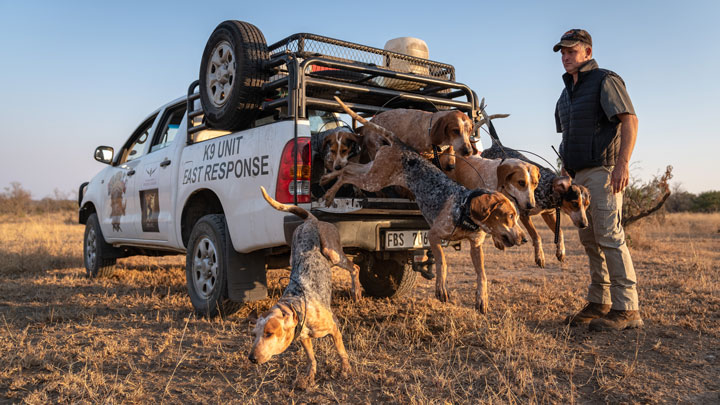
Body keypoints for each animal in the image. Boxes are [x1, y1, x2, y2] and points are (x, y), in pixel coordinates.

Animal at [248, 186, 360, 388]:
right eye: (254, 334)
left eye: (269, 334)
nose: (251, 357)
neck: (297, 305)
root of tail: (310, 221)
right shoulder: (304, 338)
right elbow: (311, 358)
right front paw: (309, 377)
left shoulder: (334, 327)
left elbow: (341, 352)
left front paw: (346, 370)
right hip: (295, 255)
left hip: (332, 252)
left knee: (355, 267)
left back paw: (357, 292)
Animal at [320, 98, 524, 312]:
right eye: (509, 216)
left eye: (516, 217)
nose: (523, 238)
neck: (463, 208)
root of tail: (400, 144)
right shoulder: (434, 236)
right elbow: (442, 262)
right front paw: (441, 289)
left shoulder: (476, 246)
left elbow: (482, 275)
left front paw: (482, 299)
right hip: (374, 180)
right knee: (347, 174)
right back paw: (329, 193)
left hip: (375, 171)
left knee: (349, 168)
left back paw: (327, 180)